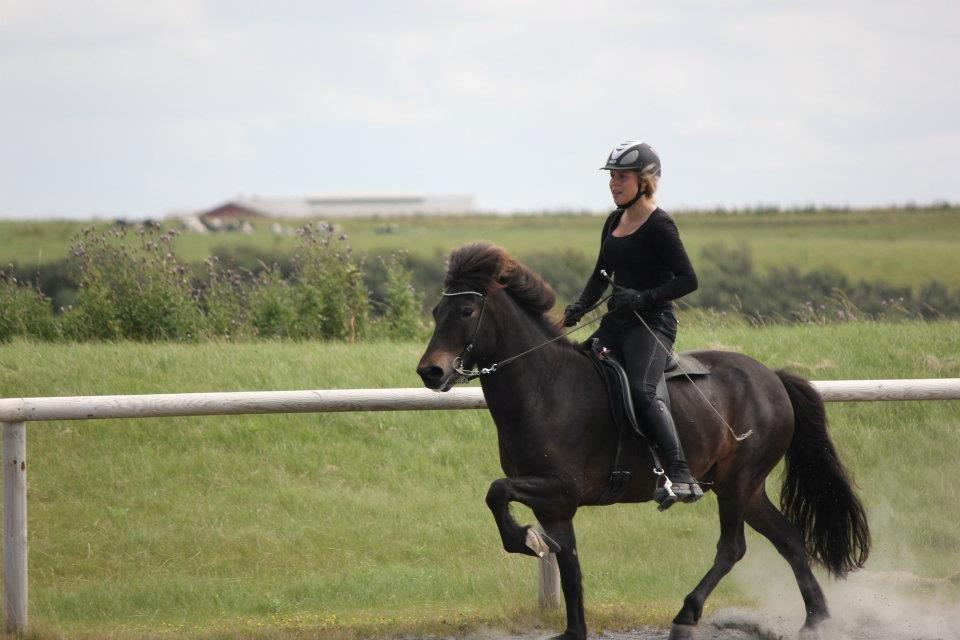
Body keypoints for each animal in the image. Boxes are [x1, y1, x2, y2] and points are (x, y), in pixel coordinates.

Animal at [414, 242, 872, 636]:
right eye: (437, 310)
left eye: (466, 309)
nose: (430, 372)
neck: (545, 387)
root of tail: (772, 377)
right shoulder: (555, 507)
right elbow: (570, 569)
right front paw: (572, 626)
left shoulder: (559, 488)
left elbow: (496, 491)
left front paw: (526, 540)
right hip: (743, 486)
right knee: (789, 539)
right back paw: (816, 620)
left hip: (737, 484)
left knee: (732, 548)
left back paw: (688, 613)